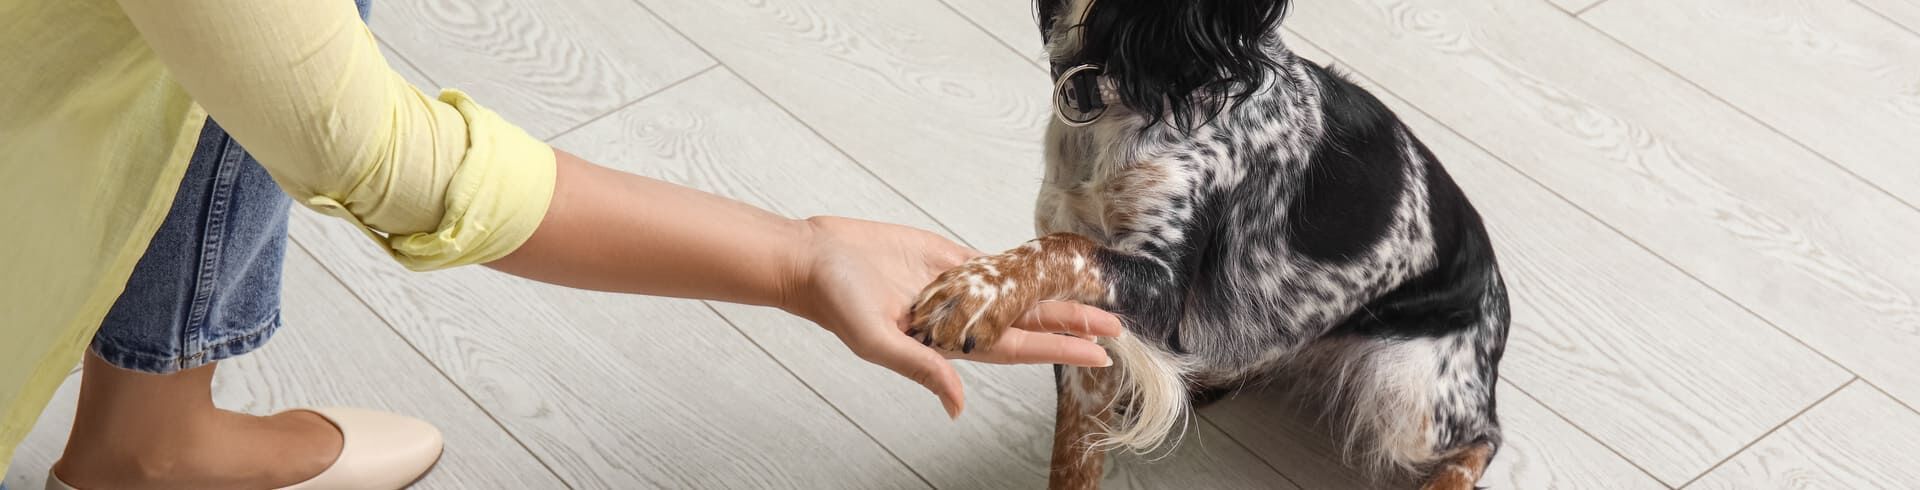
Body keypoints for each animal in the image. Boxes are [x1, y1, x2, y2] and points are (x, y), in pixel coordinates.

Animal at [906, 0, 1505, 488]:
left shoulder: (1163, 291)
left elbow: (1064, 247)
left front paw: (972, 292)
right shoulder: (1091, 335)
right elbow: (1073, 460)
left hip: (1410, 393)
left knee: (1485, 436)